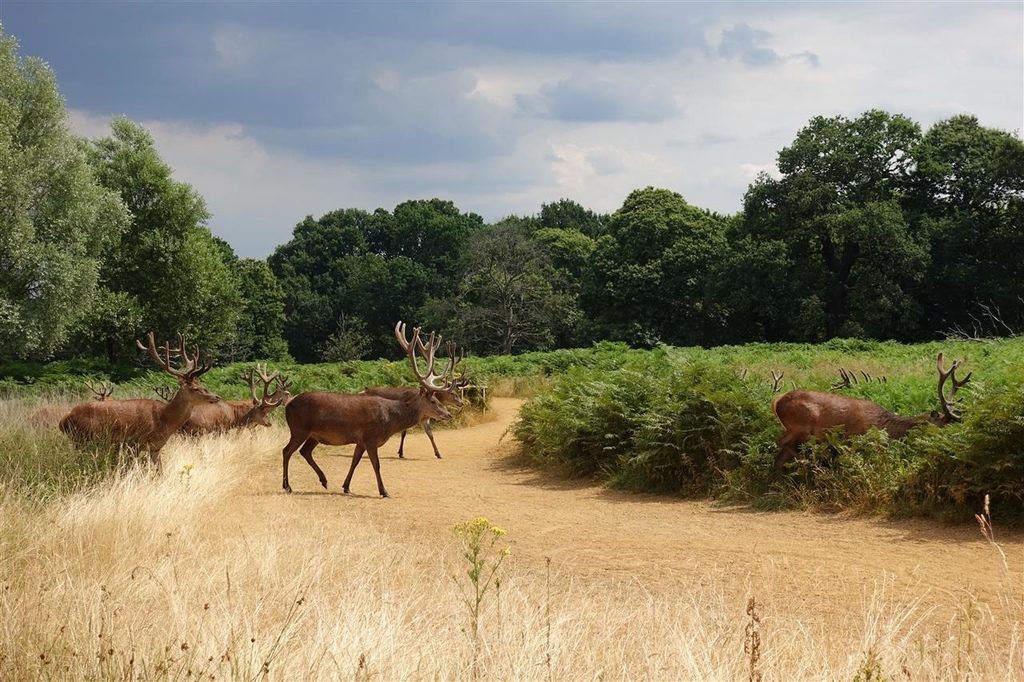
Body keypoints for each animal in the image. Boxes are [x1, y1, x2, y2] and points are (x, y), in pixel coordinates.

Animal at [59, 331, 220, 471]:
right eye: (195, 388)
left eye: (201, 384)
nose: (217, 397)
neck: (163, 420)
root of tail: (63, 420)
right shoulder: (134, 443)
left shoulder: (155, 448)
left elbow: (160, 472)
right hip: (82, 438)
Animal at [282, 321, 454, 497]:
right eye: (433, 401)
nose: (448, 414)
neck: (391, 420)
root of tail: (288, 404)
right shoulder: (371, 437)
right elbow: (376, 464)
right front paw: (384, 491)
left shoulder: (361, 441)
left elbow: (355, 461)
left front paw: (346, 486)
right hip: (298, 429)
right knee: (287, 451)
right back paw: (288, 486)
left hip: (314, 435)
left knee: (305, 451)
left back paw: (323, 480)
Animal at [362, 327, 466, 458]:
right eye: (453, 393)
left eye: (457, 391)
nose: (461, 403)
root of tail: (362, 390)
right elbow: (404, 433)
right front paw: (401, 452)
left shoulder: (425, 418)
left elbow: (430, 434)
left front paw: (438, 453)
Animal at [770, 350, 970, 477]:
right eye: (943, 428)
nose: (953, 447)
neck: (888, 428)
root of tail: (777, 400)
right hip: (799, 426)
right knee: (781, 443)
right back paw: (810, 464)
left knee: (779, 457)